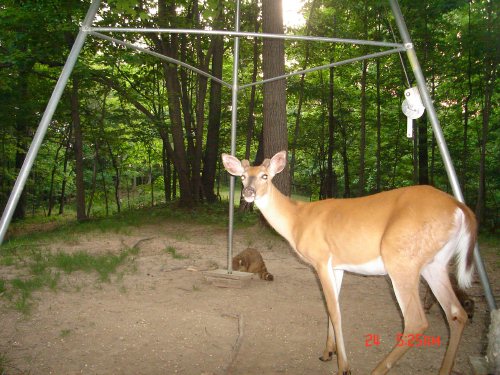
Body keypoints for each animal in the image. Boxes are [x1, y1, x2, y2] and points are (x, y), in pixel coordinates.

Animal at [223, 151, 476, 374]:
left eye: (265, 176)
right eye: (243, 176)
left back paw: (376, 370)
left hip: (401, 259)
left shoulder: (321, 258)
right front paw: (327, 352)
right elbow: (330, 307)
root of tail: (461, 208)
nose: (248, 192)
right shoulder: (337, 266)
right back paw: (444, 369)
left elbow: (335, 311)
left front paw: (344, 366)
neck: (297, 221)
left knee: (416, 321)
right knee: (456, 313)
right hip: (435, 263)